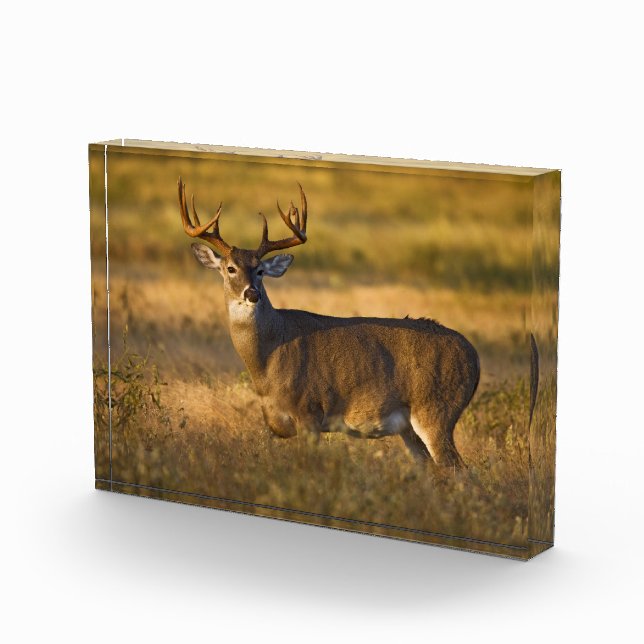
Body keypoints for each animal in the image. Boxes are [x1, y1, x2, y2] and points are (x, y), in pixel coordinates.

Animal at [178, 178, 480, 467]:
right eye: (230, 268)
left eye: (261, 270)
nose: (252, 293)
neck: (269, 359)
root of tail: (474, 358)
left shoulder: (309, 411)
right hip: (409, 428)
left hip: (436, 410)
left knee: (458, 470)